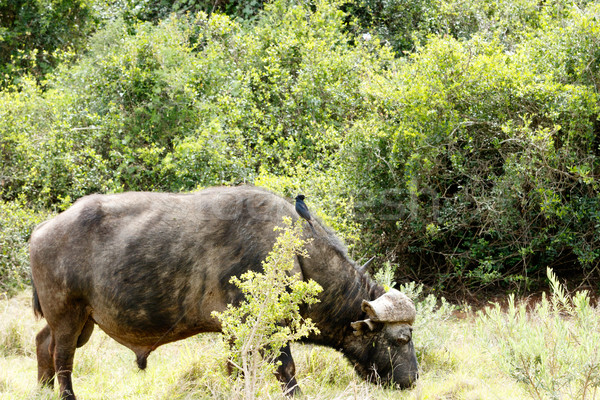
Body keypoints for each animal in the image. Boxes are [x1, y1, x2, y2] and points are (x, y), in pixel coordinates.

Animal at [30, 186, 418, 398]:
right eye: (401, 339)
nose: (414, 379)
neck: (294, 251)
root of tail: (41, 229)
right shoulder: (265, 330)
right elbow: (287, 371)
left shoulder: (233, 332)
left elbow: (235, 371)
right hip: (68, 315)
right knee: (63, 359)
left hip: (81, 321)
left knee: (42, 343)